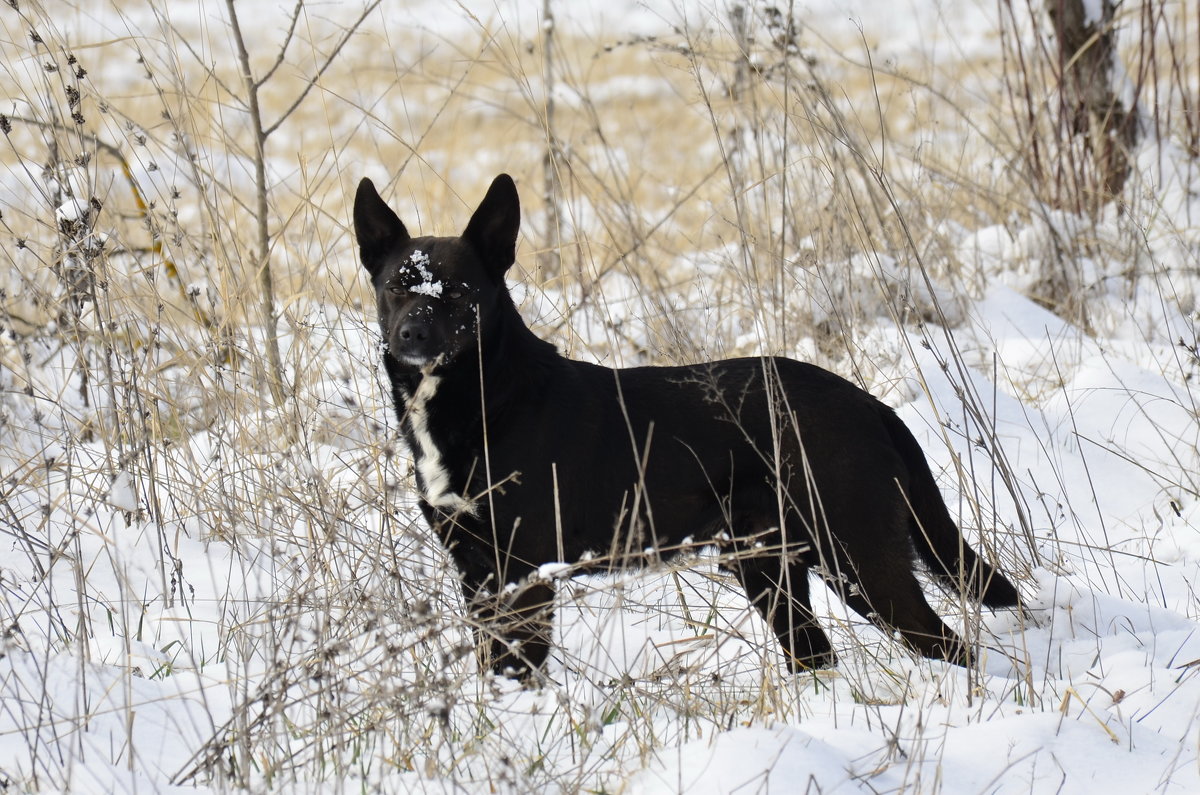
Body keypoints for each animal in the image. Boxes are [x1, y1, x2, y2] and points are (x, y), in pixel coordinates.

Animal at [350, 172, 1017, 677]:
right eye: (395, 288)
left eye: (458, 292)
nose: (410, 336)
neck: (486, 398)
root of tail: (869, 404)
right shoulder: (476, 570)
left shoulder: (523, 572)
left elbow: (520, 668)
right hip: (769, 565)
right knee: (816, 653)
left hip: (857, 554)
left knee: (944, 642)